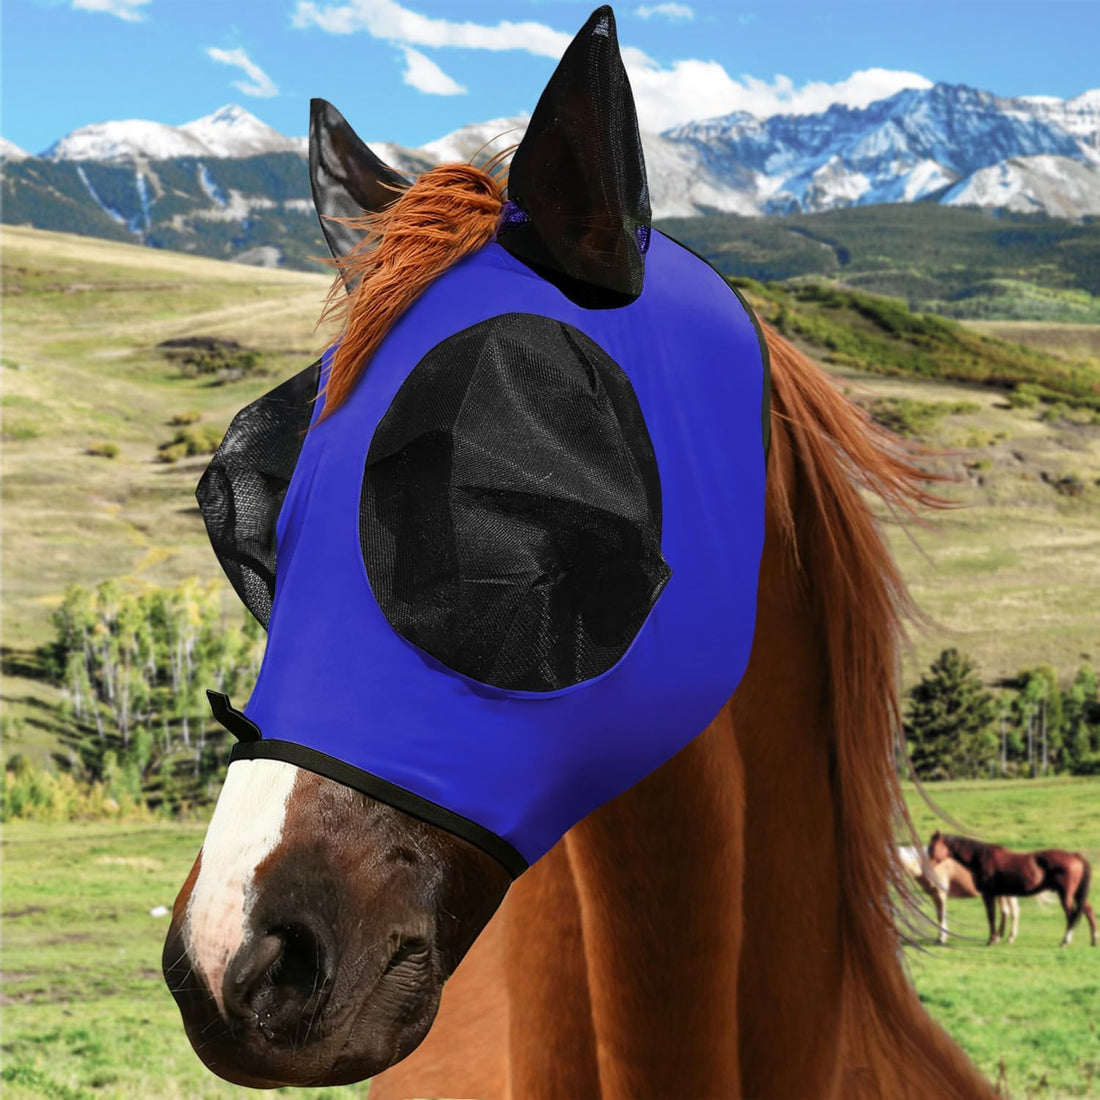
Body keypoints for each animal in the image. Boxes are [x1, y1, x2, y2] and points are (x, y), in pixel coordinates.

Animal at [929, 831, 1096, 948]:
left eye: (932, 847)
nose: (927, 865)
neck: (981, 857)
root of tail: (1075, 856)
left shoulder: (988, 894)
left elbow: (992, 916)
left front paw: (991, 940)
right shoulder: (999, 894)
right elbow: (1002, 914)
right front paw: (998, 938)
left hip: (1066, 895)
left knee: (1071, 915)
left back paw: (1065, 941)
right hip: (1077, 894)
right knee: (1088, 910)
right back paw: (1094, 939)